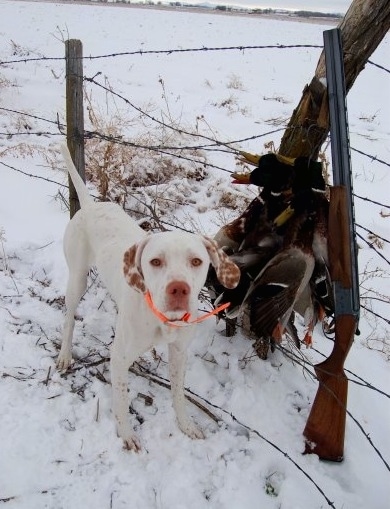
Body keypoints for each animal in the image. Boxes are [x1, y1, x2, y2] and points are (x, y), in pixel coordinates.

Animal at [57, 145, 241, 450]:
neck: (163, 320)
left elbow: (178, 393)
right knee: (69, 318)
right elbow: (121, 400)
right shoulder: (119, 358)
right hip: (77, 278)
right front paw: (127, 435)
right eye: (155, 261)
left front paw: (186, 425)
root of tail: (92, 204)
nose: (179, 289)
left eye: (196, 261)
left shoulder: (179, 353)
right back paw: (64, 354)